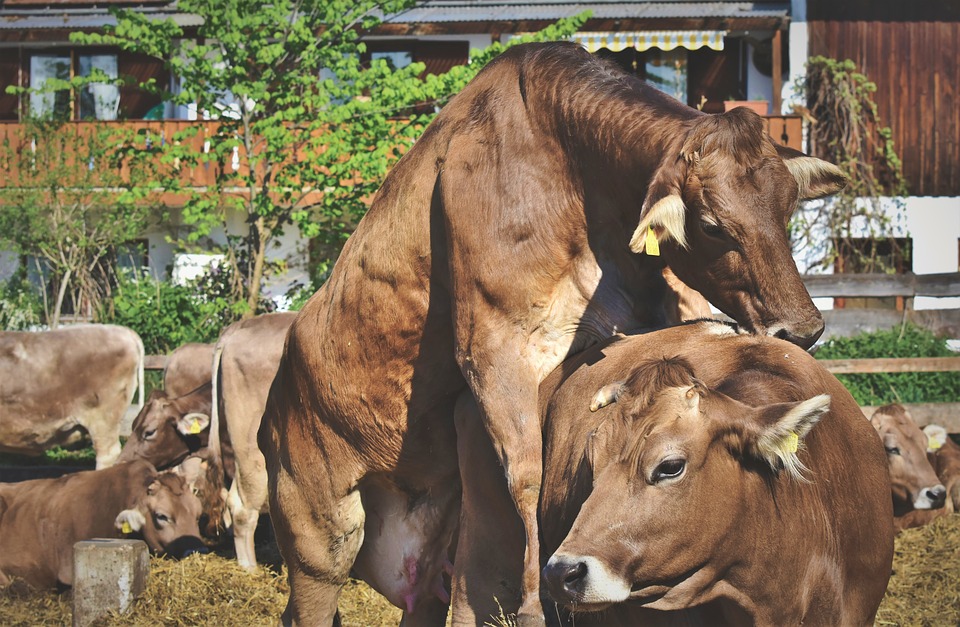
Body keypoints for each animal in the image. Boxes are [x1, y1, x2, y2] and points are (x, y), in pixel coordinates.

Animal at [257, 42, 848, 625]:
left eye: (788, 208)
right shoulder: (495, 347)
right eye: (711, 226)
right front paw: (533, 601)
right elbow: (526, 474)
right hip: (316, 525)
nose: (803, 327)